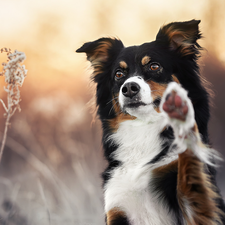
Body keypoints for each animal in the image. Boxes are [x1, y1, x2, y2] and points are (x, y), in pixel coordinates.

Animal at [76, 19, 225, 225]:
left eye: (154, 66)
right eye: (119, 74)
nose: (129, 88)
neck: (143, 128)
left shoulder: (199, 210)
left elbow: (189, 179)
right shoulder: (117, 206)